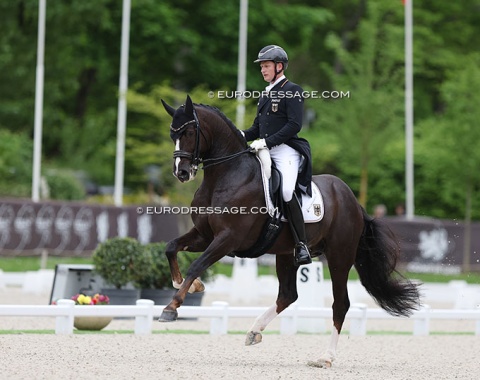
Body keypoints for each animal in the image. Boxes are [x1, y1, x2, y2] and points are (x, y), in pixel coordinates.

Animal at [158, 95, 420, 368]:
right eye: (172, 134)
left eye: (189, 132)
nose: (182, 172)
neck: (225, 176)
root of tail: (354, 202)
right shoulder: (204, 235)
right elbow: (171, 247)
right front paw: (187, 285)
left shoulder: (228, 239)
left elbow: (196, 264)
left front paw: (171, 307)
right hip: (286, 254)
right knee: (287, 295)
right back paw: (254, 331)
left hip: (339, 257)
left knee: (340, 303)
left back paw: (325, 357)